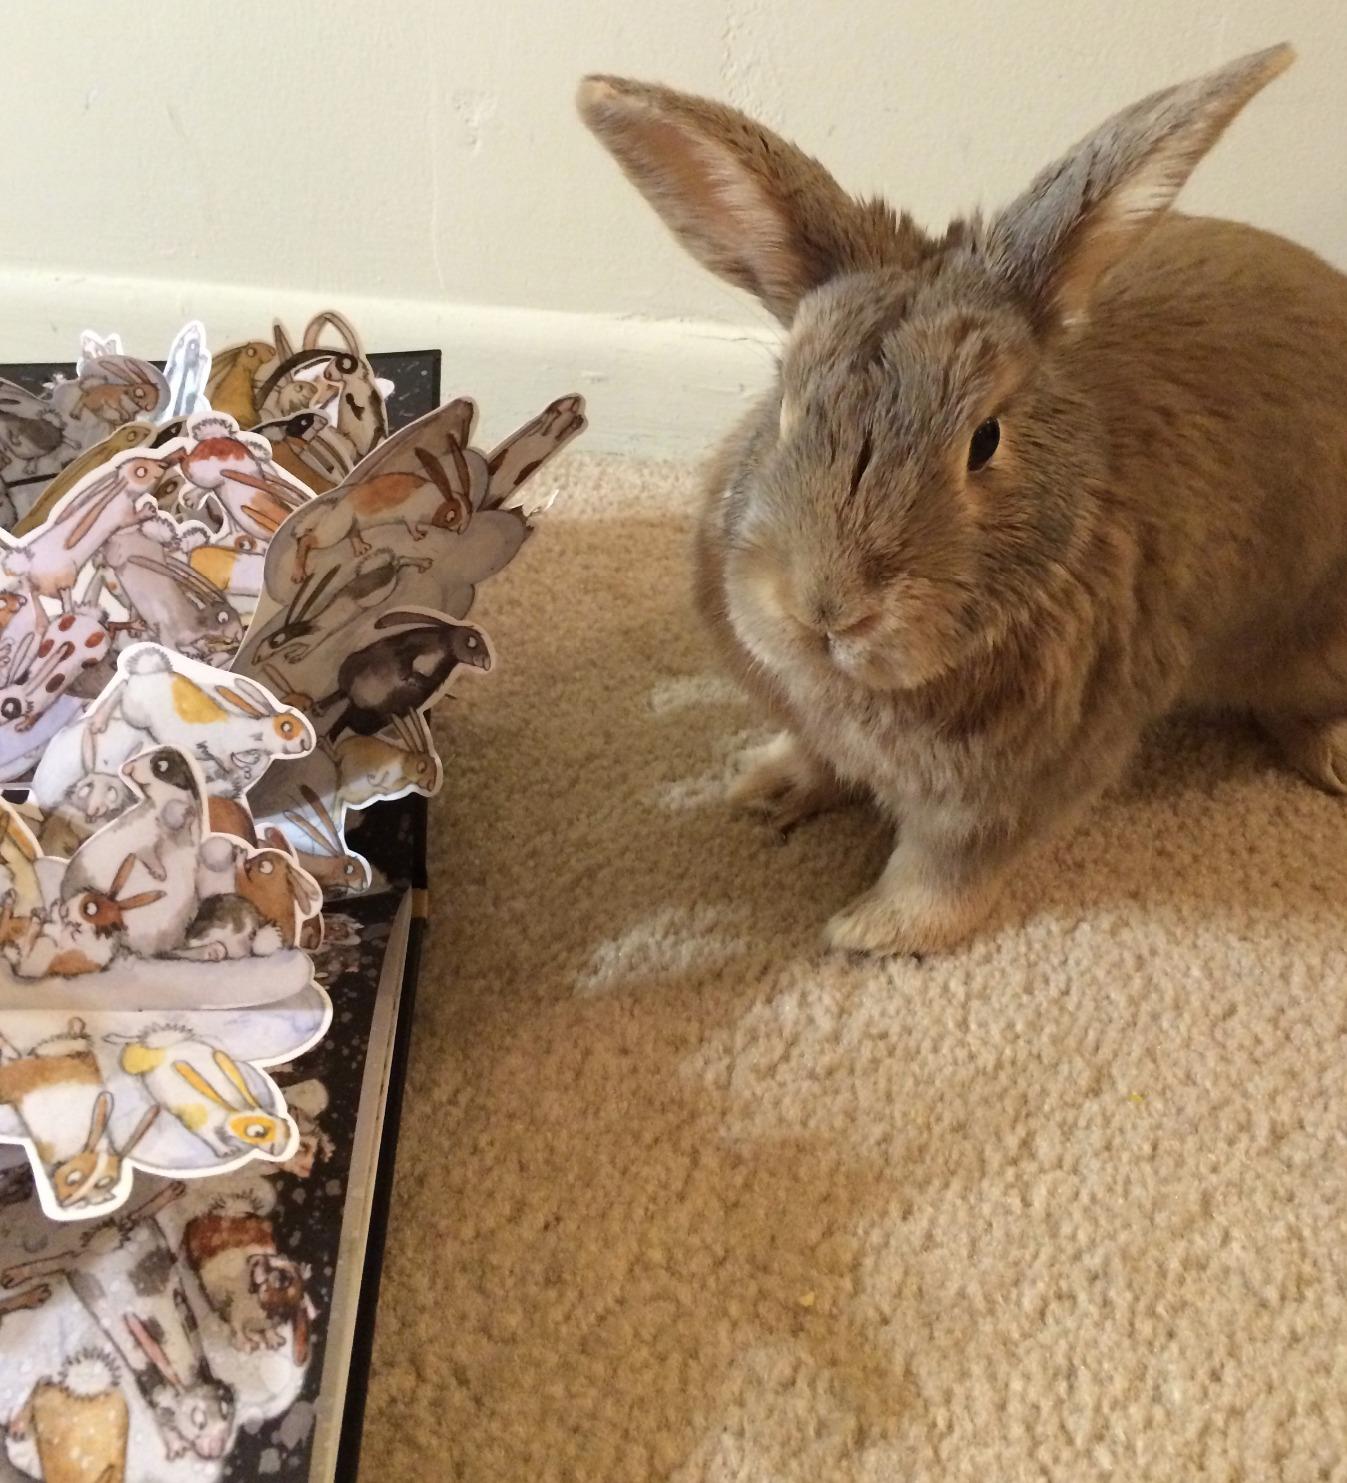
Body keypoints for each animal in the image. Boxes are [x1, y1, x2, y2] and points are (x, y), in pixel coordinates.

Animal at [109, 1024, 295, 1163]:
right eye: (259, 1133)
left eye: (286, 1125)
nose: (279, 1152)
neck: (233, 1107)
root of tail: (165, 1047)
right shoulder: (200, 1121)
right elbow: (208, 1136)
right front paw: (226, 1151)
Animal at [577, 45, 1347, 955]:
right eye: (788, 403)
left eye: (984, 439)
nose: (827, 609)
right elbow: (815, 756)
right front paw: (762, 790)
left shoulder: (1011, 789)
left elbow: (945, 869)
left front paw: (869, 931)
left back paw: (1334, 760)